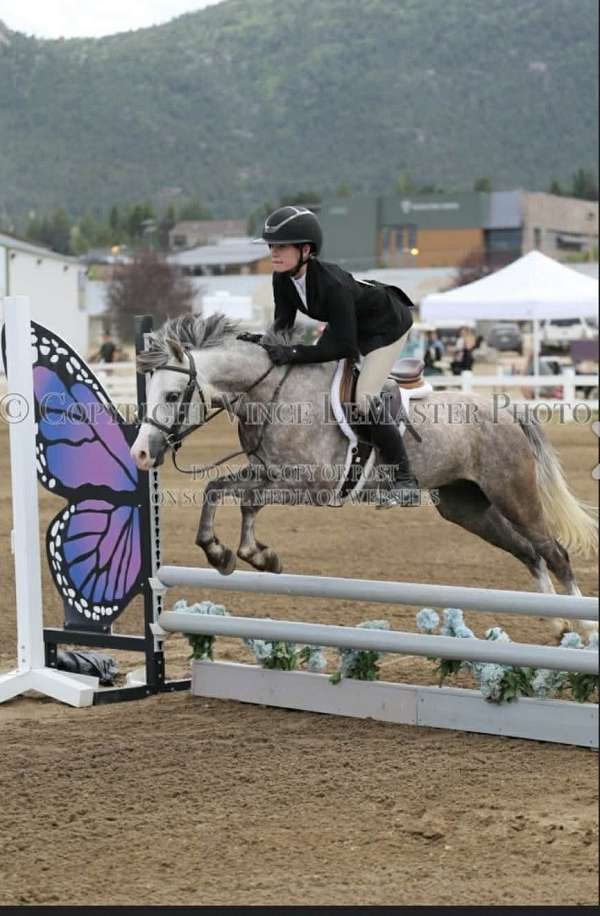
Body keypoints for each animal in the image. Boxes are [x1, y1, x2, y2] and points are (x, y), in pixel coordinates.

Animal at [131, 314, 597, 635]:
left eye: (172, 395)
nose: (140, 454)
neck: (271, 394)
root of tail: (507, 408)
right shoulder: (266, 472)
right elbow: (218, 489)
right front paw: (225, 554)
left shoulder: (312, 488)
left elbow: (247, 501)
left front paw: (255, 555)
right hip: (466, 506)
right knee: (528, 552)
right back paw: (558, 624)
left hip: (513, 493)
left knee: (554, 552)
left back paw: (583, 627)